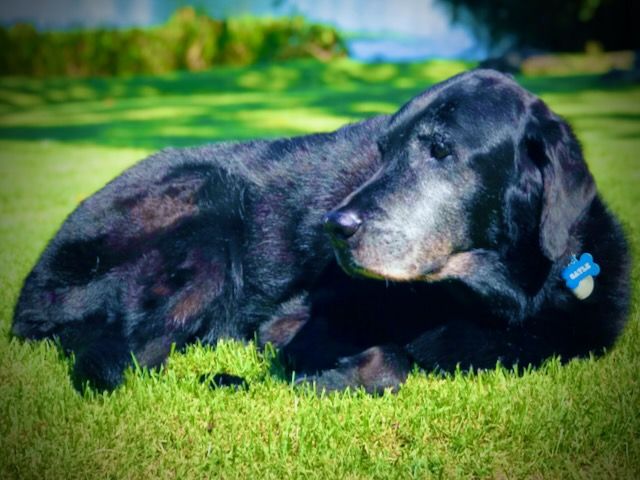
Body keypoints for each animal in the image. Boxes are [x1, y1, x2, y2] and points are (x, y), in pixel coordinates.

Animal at [12, 71, 632, 394]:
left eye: (440, 150)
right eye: (383, 148)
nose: (336, 227)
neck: (491, 300)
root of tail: (28, 296)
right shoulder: (294, 319)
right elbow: (393, 360)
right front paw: (317, 376)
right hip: (211, 213)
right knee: (117, 356)